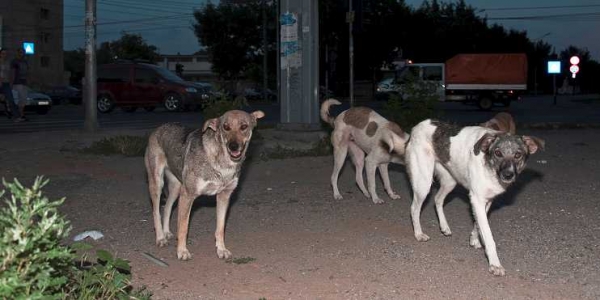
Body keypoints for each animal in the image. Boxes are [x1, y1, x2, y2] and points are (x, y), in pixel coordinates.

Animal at [144, 109, 264, 260]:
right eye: (225, 127)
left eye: (244, 126)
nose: (233, 146)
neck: (222, 163)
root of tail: (159, 128)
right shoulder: (188, 195)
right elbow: (183, 227)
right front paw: (182, 251)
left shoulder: (224, 197)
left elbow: (220, 228)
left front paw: (221, 249)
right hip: (157, 184)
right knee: (156, 211)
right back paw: (160, 237)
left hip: (177, 188)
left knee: (166, 208)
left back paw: (166, 233)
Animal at [406, 119, 548, 276]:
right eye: (498, 153)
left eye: (518, 155)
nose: (508, 175)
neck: (489, 166)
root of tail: (418, 126)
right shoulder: (477, 199)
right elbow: (488, 235)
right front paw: (495, 264)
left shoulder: (486, 201)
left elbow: (478, 223)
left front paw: (474, 239)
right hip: (423, 183)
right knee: (414, 208)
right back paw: (418, 233)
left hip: (450, 181)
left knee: (437, 199)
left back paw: (444, 226)